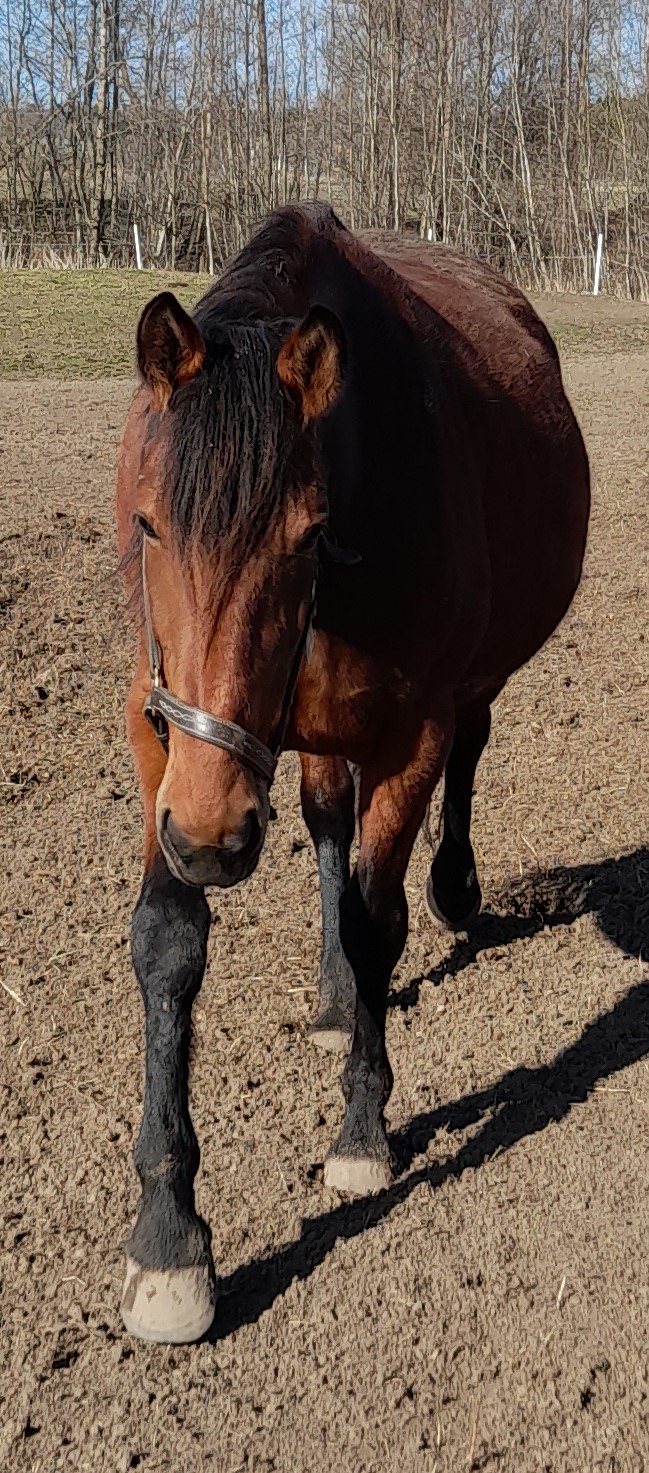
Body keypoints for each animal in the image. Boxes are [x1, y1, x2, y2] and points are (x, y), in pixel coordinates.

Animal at [115, 202, 590, 1344]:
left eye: (308, 533)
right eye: (149, 523)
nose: (211, 835)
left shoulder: (407, 734)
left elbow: (380, 919)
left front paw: (363, 1132)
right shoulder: (164, 743)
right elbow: (168, 946)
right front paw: (169, 1239)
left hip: (464, 685)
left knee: (469, 751)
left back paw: (449, 893)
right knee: (325, 819)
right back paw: (335, 997)